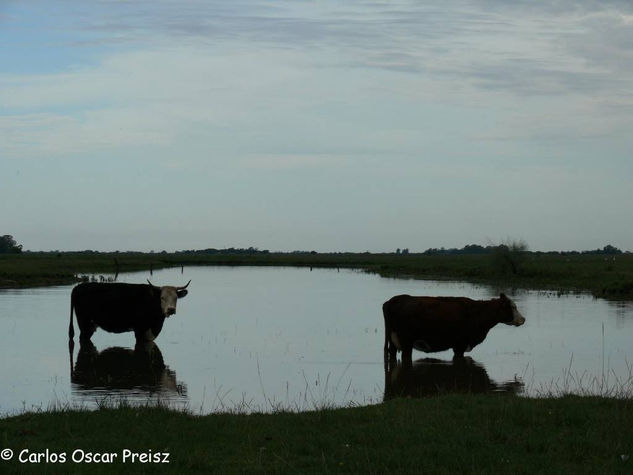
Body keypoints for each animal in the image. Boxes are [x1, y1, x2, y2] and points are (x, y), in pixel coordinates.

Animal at [380, 292, 524, 366]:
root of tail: (392, 301)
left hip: (393, 342)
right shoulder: (460, 344)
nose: (523, 319)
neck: (478, 312)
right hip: (406, 342)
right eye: (513, 307)